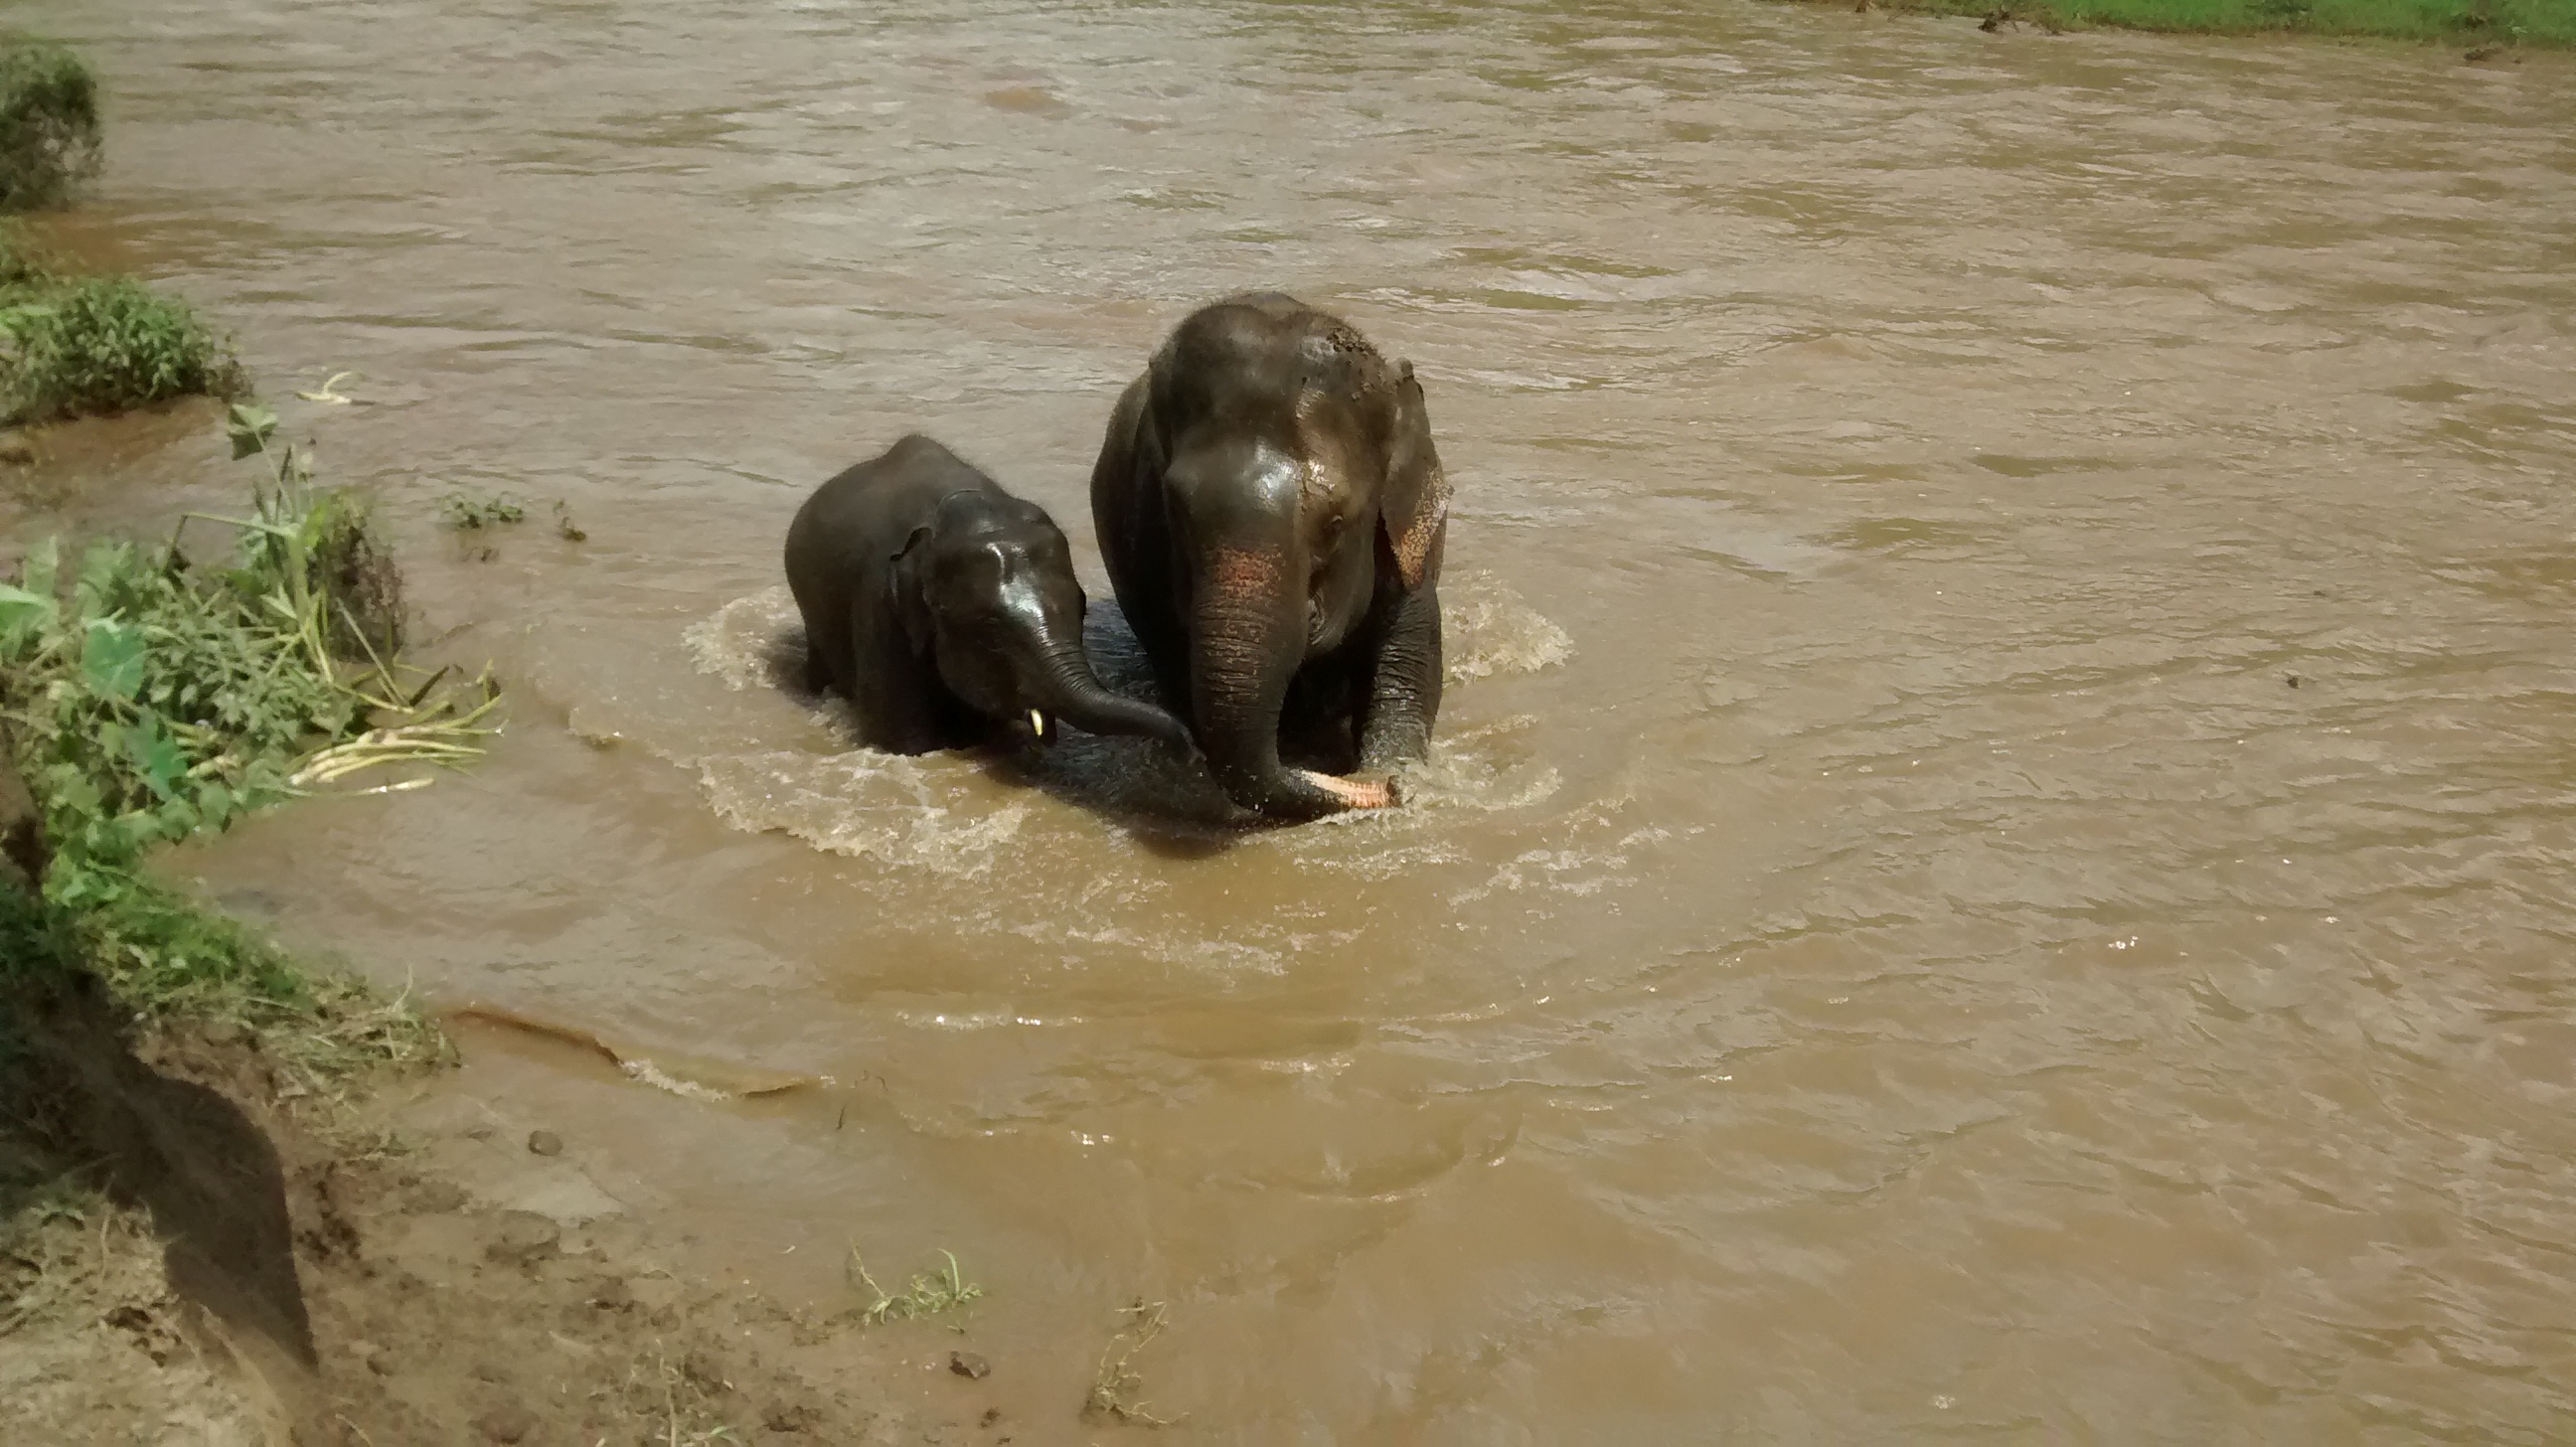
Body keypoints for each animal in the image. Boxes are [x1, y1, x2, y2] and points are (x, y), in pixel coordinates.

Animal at [1092, 286, 1452, 818]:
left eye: (1336, 523)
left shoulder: (1407, 542)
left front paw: (1396, 774)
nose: (1386, 789)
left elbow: (1407, 664)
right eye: (1177, 510)